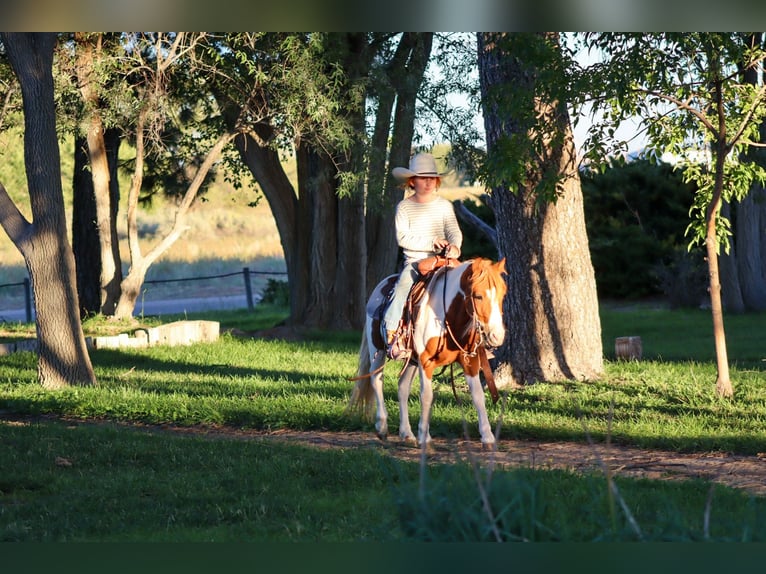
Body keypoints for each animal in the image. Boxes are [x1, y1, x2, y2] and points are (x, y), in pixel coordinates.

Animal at [348, 257, 507, 448]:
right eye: (478, 295)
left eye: (503, 294)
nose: (497, 336)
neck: (448, 316)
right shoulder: (426, 362)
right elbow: (426, 396)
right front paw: (425, 437)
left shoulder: (470, 360)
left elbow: (478, 395)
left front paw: (488, 438)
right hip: (377, 349)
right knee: (376, 380)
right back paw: (382, 427)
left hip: (411, 360)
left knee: (402, 386)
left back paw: (406, 433)